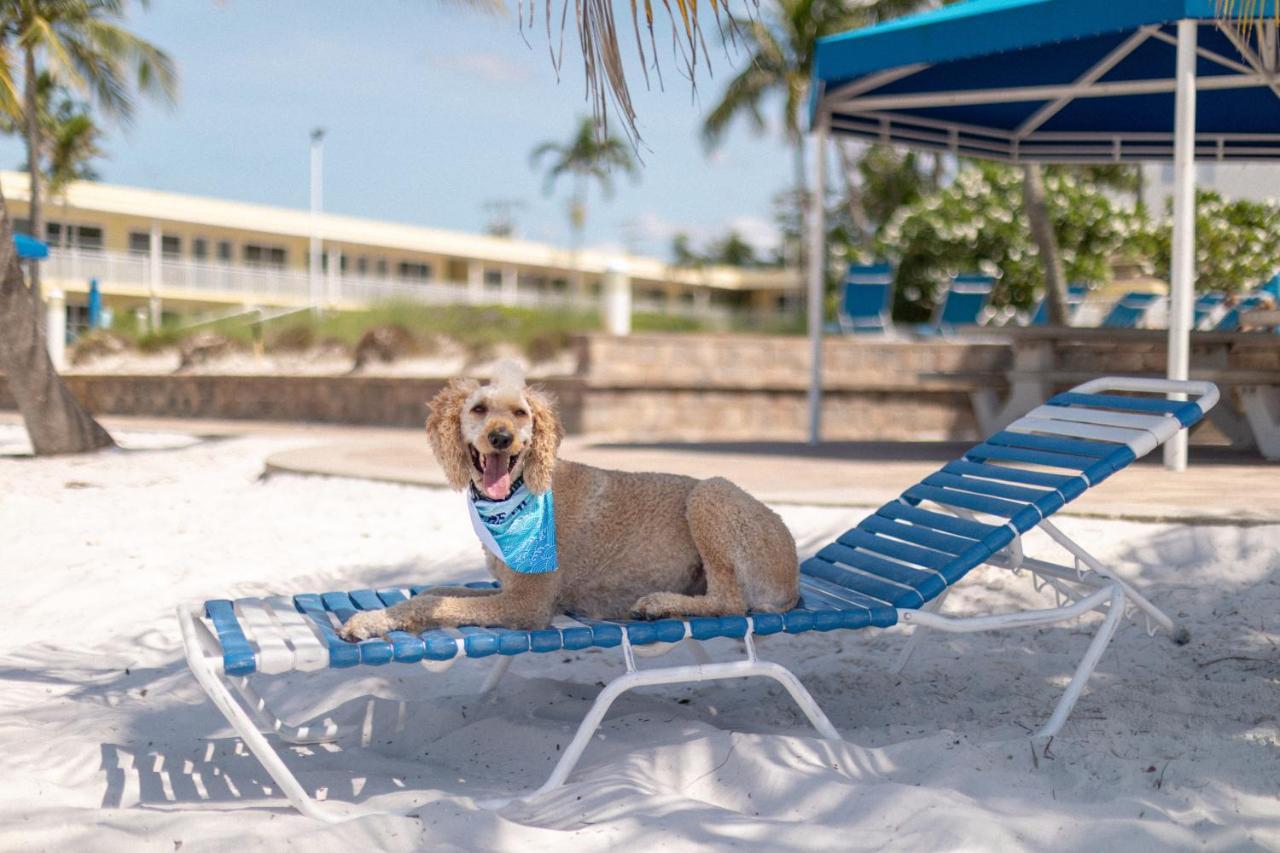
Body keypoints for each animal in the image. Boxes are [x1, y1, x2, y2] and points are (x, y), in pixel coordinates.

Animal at [340, 361, 798, 637]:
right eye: (478, 409)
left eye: (521, 413)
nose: (501, 437)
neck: (521, 490)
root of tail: (794, 579)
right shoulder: (508, 588)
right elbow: (433, 592)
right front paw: (373, 618)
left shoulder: (527, 604)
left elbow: (438, 604)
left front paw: (375, 619)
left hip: (710, 493)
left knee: (730, 601)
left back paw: (658, 604)